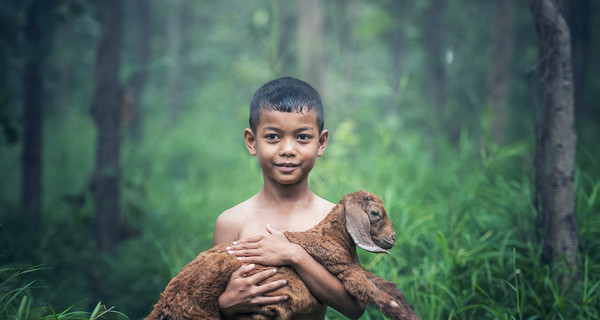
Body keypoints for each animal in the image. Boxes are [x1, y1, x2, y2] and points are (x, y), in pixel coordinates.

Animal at [144, 191, 420, 320]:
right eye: (375, 214)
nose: (393, 239)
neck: (331, 237)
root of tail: (164, 302)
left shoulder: (353, 267)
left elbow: (390, 287)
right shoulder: (344, 270)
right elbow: (383, 298)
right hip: (202, 313)